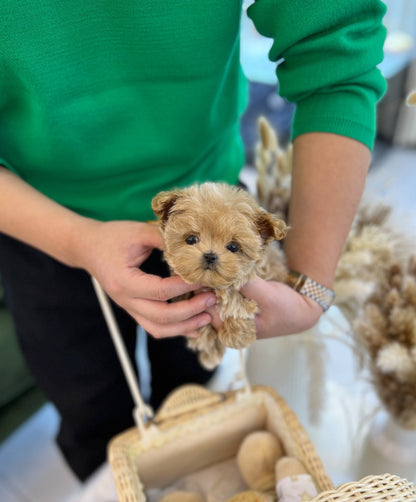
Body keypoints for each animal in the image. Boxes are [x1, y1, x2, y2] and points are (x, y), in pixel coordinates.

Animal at [151, 181, 288, 368]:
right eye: (191, 239)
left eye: (233, 247)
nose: (210, 255)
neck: (210, 286)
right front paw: (206, 344)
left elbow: (235, 299)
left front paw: (236, 335)